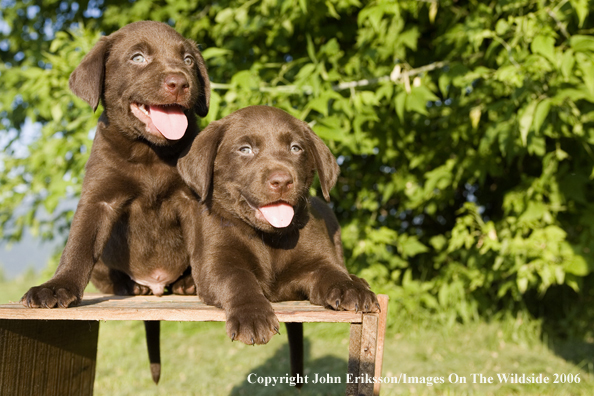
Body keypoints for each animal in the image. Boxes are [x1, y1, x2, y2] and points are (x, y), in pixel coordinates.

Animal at [177, 106, 380, 350]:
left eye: (295, 148)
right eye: (245, 149)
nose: (282, 181)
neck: (268, 238)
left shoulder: (316, 262)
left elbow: (331, 272)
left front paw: (350, 288)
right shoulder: (215, 264)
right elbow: (238, 279)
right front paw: (252, 316)